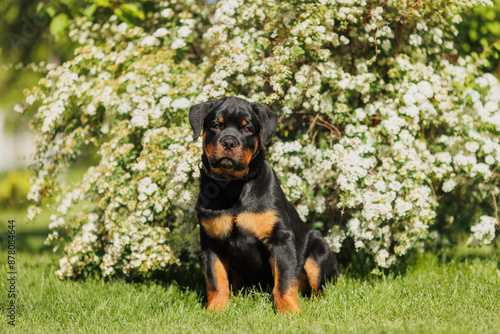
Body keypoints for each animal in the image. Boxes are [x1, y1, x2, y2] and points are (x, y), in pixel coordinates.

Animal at [188, 96, 340, 314]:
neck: (233, 186)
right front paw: (216, 309)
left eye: (247, 129)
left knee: (318, 285)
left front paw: (288, 310)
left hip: (318, 250)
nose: (229, 142)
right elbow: (215, 279)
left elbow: (284, 280)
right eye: (216, 125)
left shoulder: (280, 239)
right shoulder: (211, 241)